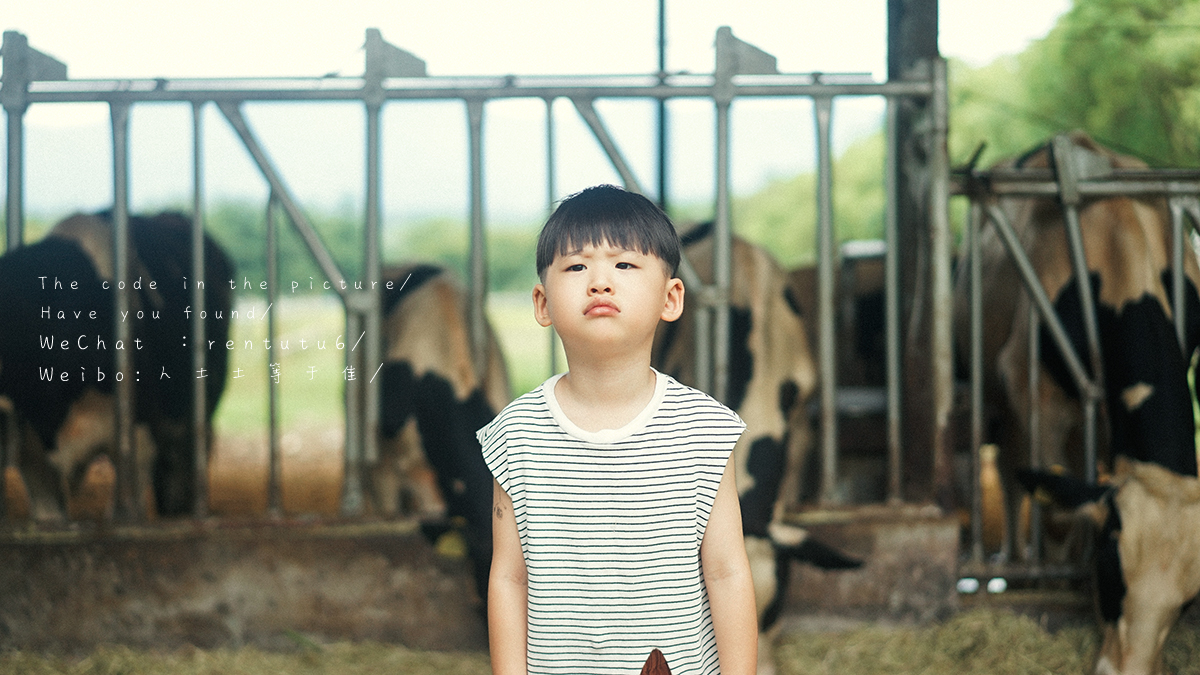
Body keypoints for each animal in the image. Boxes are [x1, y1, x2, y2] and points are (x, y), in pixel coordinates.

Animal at [960, 132, 1200, 672]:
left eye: (1186, 602)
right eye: (1112, 573)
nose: (1126, 671)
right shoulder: (1033, 392)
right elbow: (1058, 511)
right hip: (1000, 404)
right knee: (1010, 477)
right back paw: (1014, 563)